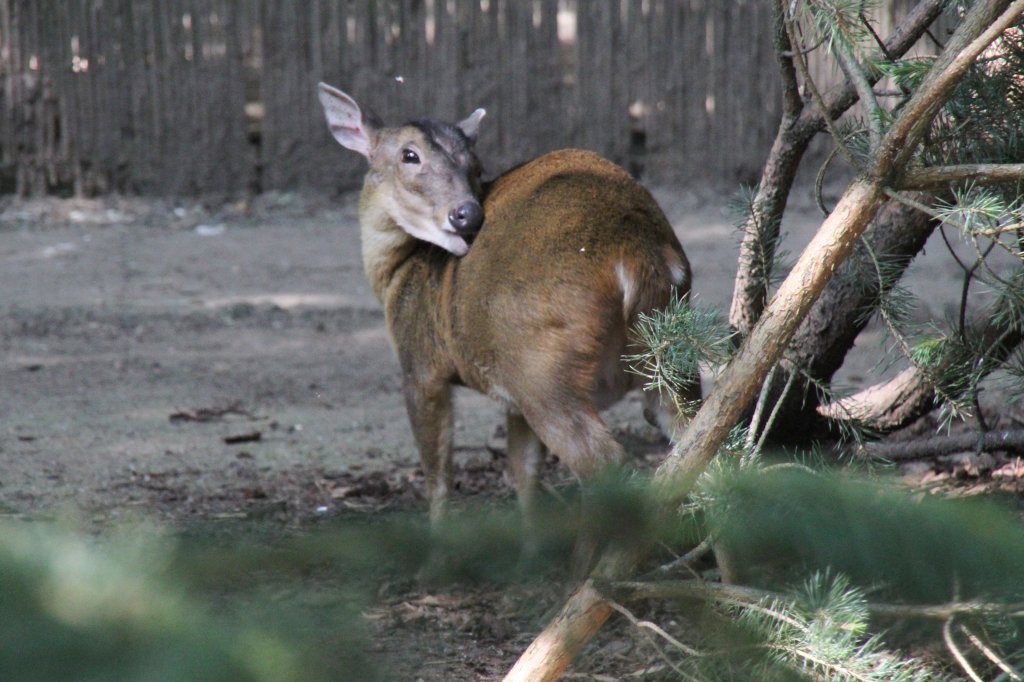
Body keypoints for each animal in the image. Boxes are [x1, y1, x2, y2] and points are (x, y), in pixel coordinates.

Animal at [315, 80, 700, 548]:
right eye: (409, 155)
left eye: (475, 165)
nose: (467, 213)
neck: (399, 272)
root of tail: (635, 256)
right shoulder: (511, 398)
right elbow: (524, 474)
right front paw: (528, 552)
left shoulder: (420, 364)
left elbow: (438, 477)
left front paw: (437, 554)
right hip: (664, 353)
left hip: (543, 365)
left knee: (609, 466)